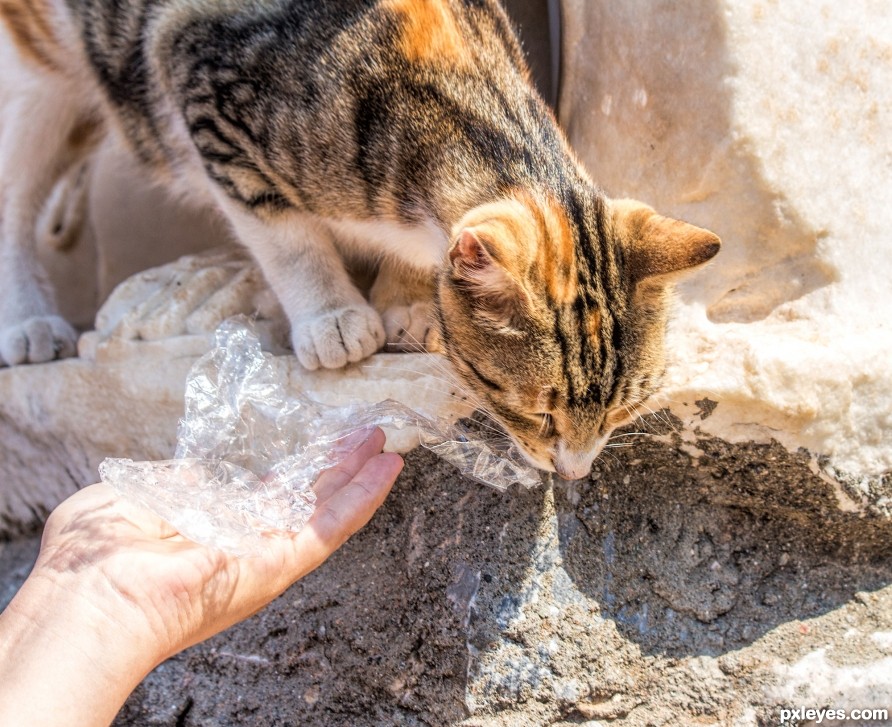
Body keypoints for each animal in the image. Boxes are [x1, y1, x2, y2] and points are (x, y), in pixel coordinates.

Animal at [0, 0, 716, 480]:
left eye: (623, 414)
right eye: (541, 415)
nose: (574, 472)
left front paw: (409, 306)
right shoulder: (208, 96)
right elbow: (283, 233)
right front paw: (334, 318)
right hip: (37, 78)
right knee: (15, 192)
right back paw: (30, 323)